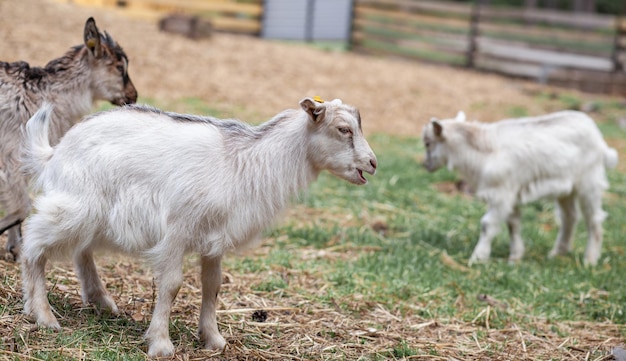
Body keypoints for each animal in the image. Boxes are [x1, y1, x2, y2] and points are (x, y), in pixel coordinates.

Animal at [0, 17, 136, 258]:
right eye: (119, 68)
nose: (133, 96)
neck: (48, 94)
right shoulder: (10, 155)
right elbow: (23, 206)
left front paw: (14, 247)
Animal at [20, 97, 376, 356]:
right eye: (343, 129)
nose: (372, 164)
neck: (245, 162)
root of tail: (54, 152)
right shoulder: (177, 229)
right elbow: (172, 285)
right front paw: (161, 344)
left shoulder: (214, 239)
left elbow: (212, 286)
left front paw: (213, 339)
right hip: (75, 207)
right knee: (33, 243)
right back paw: (43, 315)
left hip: (94, 215)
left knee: (80, 251)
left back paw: (100, 302)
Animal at [422, 109, 616, 264]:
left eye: (428, 143)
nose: (425, 165)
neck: (484, 153)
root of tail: (600, 139)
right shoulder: (511, 195)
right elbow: (513, 224)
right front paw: (515, 257)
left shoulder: (501, 195)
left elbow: (487, 224)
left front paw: (478, 258)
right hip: (566, 190)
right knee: (570, 217)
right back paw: (557, 253)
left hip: (589, 182)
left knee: (594, 219)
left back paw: (590, 260)